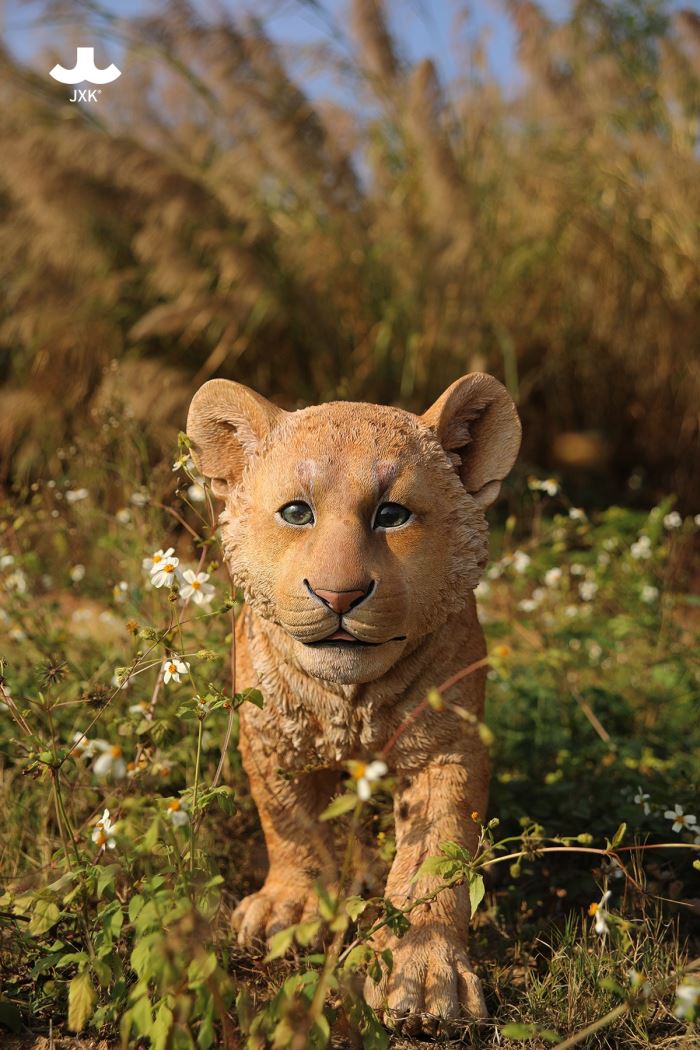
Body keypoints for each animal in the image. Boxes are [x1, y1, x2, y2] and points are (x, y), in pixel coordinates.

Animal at [187, 373, 521, 1029]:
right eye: (297, 512)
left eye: (391, 515)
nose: (339, 594)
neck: (349, 702)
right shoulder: (272, 740)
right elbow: (290, 825)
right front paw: (288, 911)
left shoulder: (448, 748)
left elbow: (434, 859)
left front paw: (426, 979)